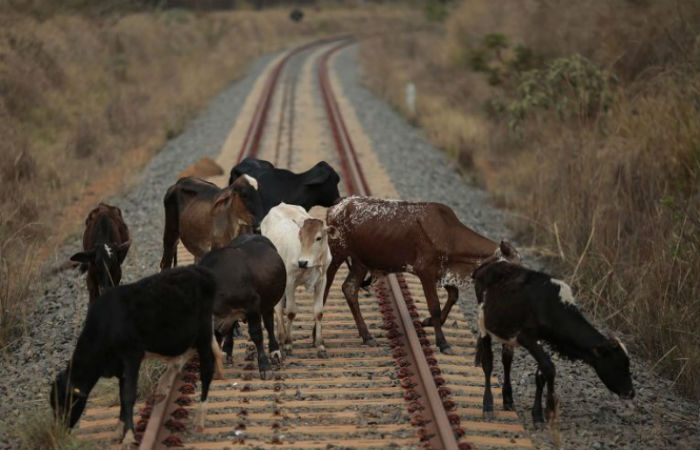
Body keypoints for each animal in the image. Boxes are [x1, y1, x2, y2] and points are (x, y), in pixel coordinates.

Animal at [50, 266, 219, 444]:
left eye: (64, 402)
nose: (59, 430)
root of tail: (199, 270)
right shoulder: (119, 366)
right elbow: (122, 395)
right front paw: (119, 429)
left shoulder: (131, 356)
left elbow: (128, 395)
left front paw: (129, 436)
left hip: (203, 332)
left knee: (207, 369)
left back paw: (200, 418)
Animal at [198, 236, 286, 380]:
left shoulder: (253, 305)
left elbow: (257, 334)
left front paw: (265, 367)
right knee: (229, 330)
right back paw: (227, 351)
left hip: (268, 303)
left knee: (269, 325)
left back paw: (275, 352)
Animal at [262, 204, 334, 358]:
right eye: (300, 236)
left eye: (318, 238)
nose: (302, 262)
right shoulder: (290, 281)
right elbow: (290, 312)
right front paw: (289, 343)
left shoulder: (322, 281)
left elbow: (318, 312)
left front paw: (320, 345)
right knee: (278, 307)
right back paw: (281, 337)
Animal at [322, 197, 520, 356]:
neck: (449, 235)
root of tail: (338, 205)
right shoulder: (425, 272)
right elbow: (435, 306)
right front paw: (442, 342)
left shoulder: (442, 273)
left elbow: (453, 295)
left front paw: (429, 322)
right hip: (336, 254)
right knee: (325, 287)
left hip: (360, 263)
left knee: (349, 289)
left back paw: (366, 335)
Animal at [470, 262, 636, 424]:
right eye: (618, 364)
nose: (631, 392)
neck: (549, 305)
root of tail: (487, 265)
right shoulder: (526, 337)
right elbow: (549, 368)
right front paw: (549, 410)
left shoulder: (543, 339)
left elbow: (541, 374)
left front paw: (537, 415)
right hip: (483, 321)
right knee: (488, 363)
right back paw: (488, 406)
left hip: (507, 331)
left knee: (507, 360)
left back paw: (508, 399)